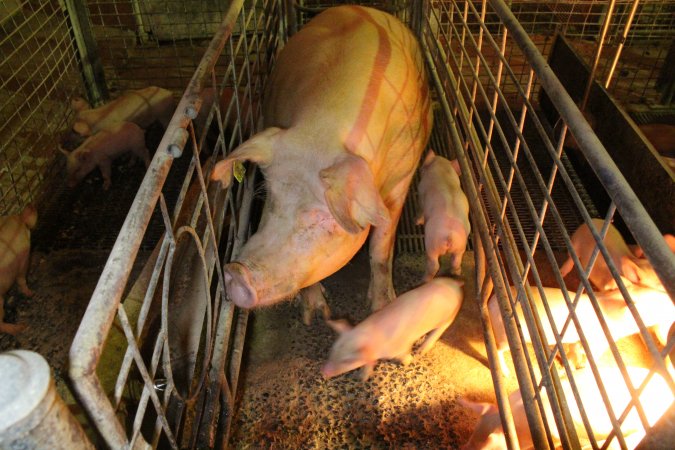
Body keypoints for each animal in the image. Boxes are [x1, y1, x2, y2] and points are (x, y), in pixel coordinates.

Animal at [211, 7, 434, 316]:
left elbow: (381, 247)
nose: (236, 273)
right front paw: (316, 313)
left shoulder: (403, 172)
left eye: (324, 218)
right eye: (269, 197)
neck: (323, 127)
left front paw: (382, 307)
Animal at [320, 278, 462, 380]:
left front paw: (408, 361)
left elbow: (404, 355)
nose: (323, 372)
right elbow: (368, 364)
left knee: (439, 330)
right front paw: (361, 378)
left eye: (347, 360)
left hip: (450, 317)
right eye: (333, 349)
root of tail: (456, 284)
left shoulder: (401, 346)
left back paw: (420, 350)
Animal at [418, 151, 470, 282]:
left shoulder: (421, 192)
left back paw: (424, 280)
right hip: (460, 246)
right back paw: (456, 273)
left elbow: (420, 210)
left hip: (431, 244)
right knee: (456, 261)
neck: (443, 170)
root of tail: (449, 235)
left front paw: (417, 221)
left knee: (434, 265)